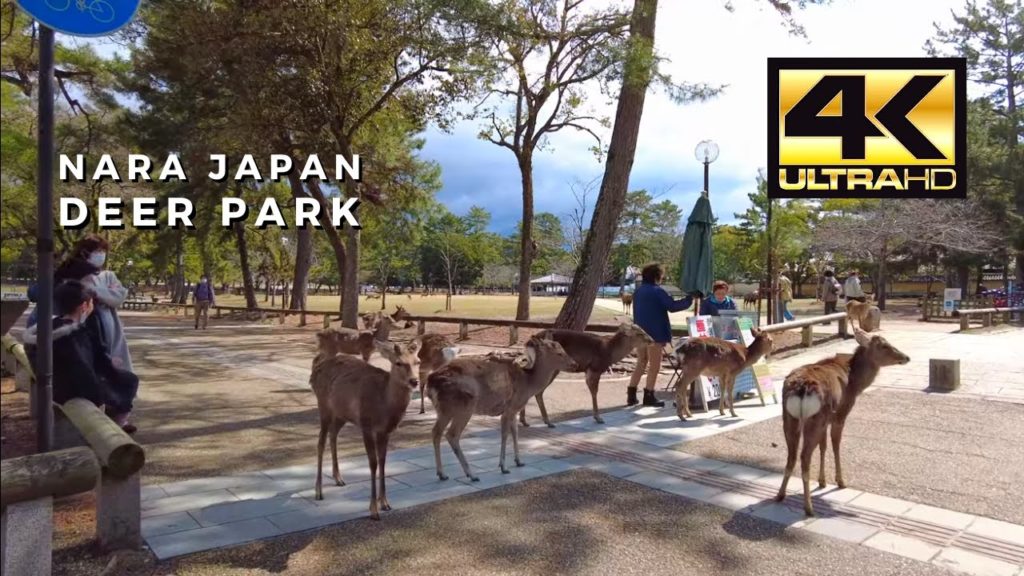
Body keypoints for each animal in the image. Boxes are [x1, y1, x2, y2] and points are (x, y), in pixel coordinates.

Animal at [310, 339, 422, 520]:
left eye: (417, 361)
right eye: (398, 362)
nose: (414, 381)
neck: (384, 406)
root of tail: (315, 370)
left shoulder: (385, 431)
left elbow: (383, 461)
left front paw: (385, 503)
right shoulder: (366, 424)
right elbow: (373, 463)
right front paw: (373, 510)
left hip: (341, 413)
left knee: (333, 435)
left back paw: (338, 478)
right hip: (323, 405)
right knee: (320, 442)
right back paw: (318, 491)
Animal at [426, 335, 578, 481]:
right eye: (559, 353)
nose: (575, 364)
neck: (528, 384)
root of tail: (431, 382)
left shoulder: (515, 410)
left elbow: (515, 431)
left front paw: (519, 461)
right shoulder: (509, 408)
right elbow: (505, 434)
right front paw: (503, 467)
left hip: (444, 410)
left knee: (436, 432)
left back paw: (442, 474)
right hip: (464, 407)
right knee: (452, 435)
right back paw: (472, 475)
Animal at [517, 323, 654, 427]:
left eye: (643, 330)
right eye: (639, 333)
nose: (651, 340)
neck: (610, 352)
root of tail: (528, 343)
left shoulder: (588, 370)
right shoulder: (595, 368)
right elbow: (594, 392)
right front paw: (598, 418)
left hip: (533, 363)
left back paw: (525, 421)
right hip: (552, 368)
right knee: (539, 391)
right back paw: (547, 422)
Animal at [775, 328, 909, 516]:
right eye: (884, 345)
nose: (906, 357)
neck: (855, 382)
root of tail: (801, 388)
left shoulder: (827, 421)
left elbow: (823, 446)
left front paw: (822, 481)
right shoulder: (840, 414)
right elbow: (836, 445)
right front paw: (840, 481)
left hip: (790, 418)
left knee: (792, 456)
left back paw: (780, 495)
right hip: (814, 419)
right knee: (804, 457)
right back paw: (808, 507)